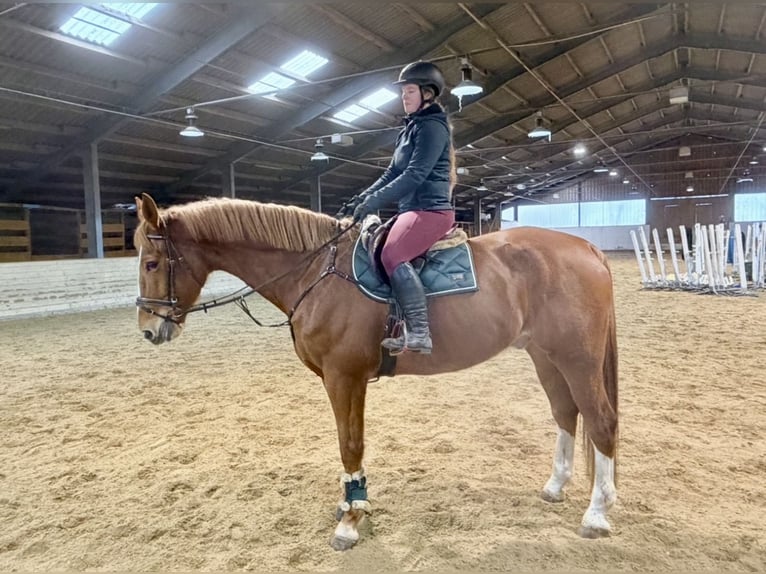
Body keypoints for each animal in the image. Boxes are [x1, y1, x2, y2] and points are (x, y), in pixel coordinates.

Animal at [133, 192, 619, 550]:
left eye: (152, 263)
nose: (149, 330)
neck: (315, 273)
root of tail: (585, 247)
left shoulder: (343, 376)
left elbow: (350, 443)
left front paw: (350, 519)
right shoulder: (343, 380)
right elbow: (349, 441)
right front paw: (353, 502)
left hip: (576, 358)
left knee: (601, 421)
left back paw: (596, 513)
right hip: (545, 355)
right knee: (565, 413)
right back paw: (555, 486)